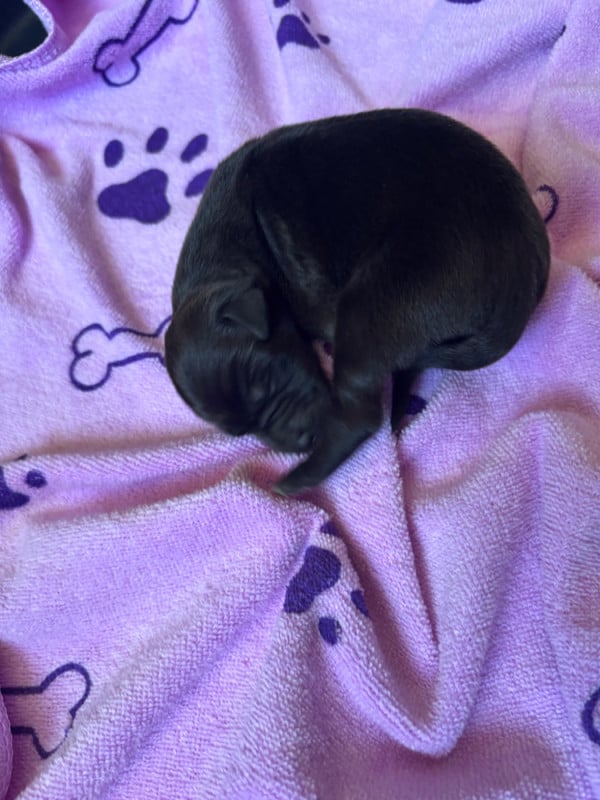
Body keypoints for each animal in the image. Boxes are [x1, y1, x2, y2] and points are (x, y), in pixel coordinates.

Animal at [164, 109, 550, 494]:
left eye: (267, 383)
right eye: (241, 431)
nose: (301, 441)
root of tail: (522, 276)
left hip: (374, 303)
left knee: (361, 416)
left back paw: (295, 480)